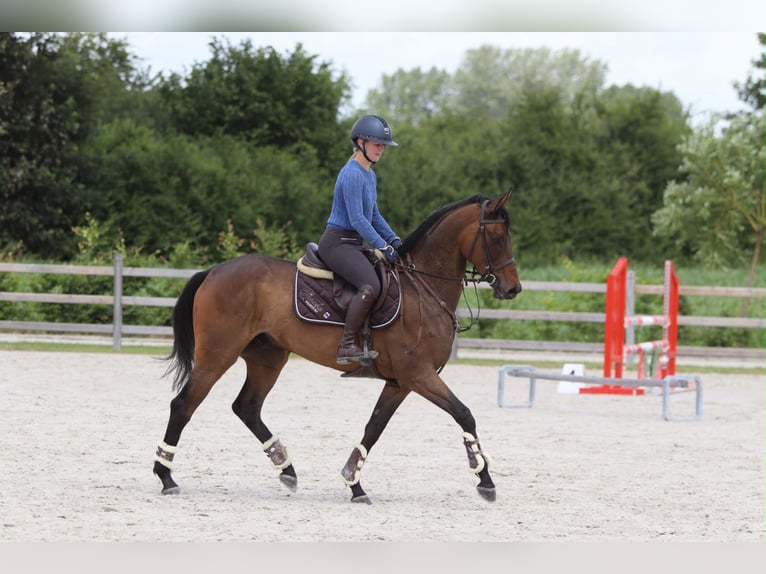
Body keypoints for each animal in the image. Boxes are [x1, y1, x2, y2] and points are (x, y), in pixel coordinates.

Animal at [153, 189, 522, 503]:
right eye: (497, 238)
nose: (513, 288)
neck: (422, 289)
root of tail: (213, 271)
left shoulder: (400, 382)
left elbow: (373, 428)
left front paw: (353, 482)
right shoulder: (418, 375)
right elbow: (464, 414)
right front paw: (484, 478)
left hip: (268, 358)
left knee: (247, 407)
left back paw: (285, 466)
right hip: (218, 355)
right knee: (183, 405)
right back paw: (166, 476)